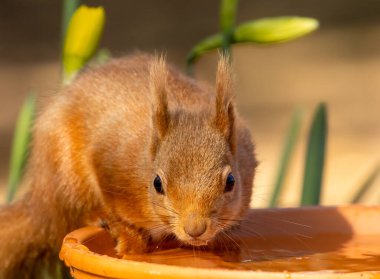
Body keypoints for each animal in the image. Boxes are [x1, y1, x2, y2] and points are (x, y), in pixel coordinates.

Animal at [0, 53, 256, 278]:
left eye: (231, 182)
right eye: (157, 184)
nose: (195, 229)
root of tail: (39, 203)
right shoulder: (108, 161)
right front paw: (126, 236)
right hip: (64, 172)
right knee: (69, 213)